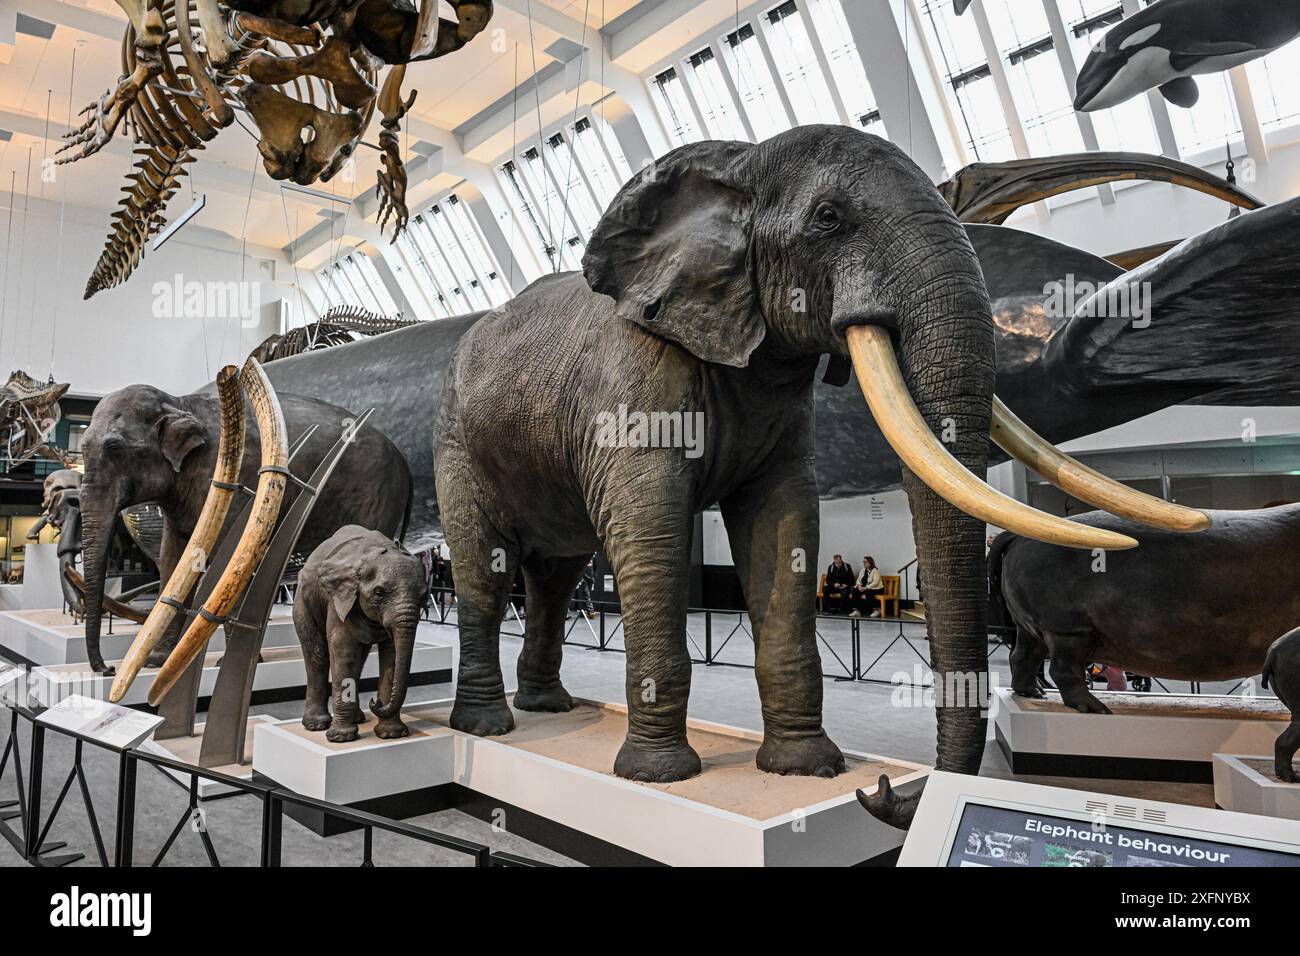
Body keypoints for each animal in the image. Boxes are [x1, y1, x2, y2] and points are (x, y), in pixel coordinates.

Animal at [78, 385, 410, 676]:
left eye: (114, 447)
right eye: (82, 446)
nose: (107, 669)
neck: (180, 402)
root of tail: (402, 459)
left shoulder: (239, 482)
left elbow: (229, 560)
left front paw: (224, 664)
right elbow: (174, 559)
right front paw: (156, 662)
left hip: (376, 499)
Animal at [292, 528, 423, 743]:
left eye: (424, 596)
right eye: (379, 593)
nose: (374, 702)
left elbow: (392, 654)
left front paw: (392, 735)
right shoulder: (339, 599)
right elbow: (343, 651)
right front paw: (341, 739)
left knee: (359, 659)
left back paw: (357, 718)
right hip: (302, 602)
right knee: (317, 656)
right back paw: (316, 725)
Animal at [434, 127, 1190, 796]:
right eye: (829, 218)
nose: (885, 788)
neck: (736, 164)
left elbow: (784, 524)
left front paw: (806, 771)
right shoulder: (633, 380)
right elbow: (651, 534)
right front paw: (658, 777)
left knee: (553, 577)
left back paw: (549, 710)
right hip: (456, 443)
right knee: (486, 572)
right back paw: (486, 727)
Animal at [987, 509, 1300, 717]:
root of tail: (1016, 535)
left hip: (1033, 628)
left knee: (1023, 656)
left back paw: (1034, 693)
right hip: (1068, 631)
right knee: (1063, 669)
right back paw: (1095, 708)